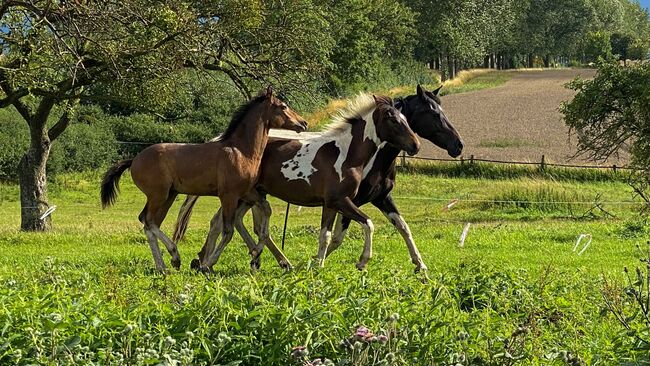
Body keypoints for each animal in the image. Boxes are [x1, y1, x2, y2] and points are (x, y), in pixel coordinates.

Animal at [99, 87, 306, 274]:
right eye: (283, 106)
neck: (241, 151)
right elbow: (228, 231)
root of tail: (134, 160)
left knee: (148, 222)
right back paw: (174, 256)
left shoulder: (247, 192)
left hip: (168, 196)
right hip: (158, 195)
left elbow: (266, 209)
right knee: (149, 221)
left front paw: (256, 252)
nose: (303, 123)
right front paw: (208, 264)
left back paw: (164, 266)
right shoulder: (229, 195)